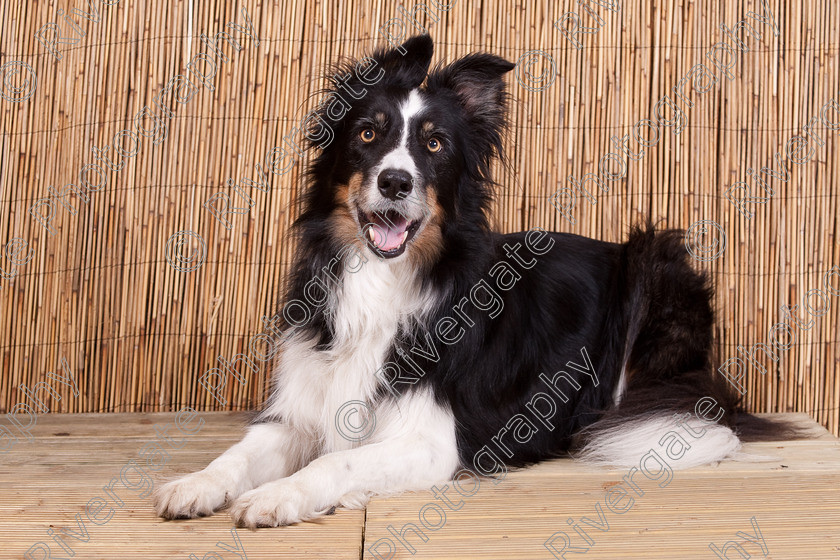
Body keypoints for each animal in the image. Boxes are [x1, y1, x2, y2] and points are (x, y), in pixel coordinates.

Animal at [153, 36, 780, 528]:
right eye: (367, 134)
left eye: (434, 144)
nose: (396, 181)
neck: (384, 281)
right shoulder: (301, 407)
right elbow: (238, 454)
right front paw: (196, 483)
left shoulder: (431, 440)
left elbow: (337, 459)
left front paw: (280, 495)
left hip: (654, 262)